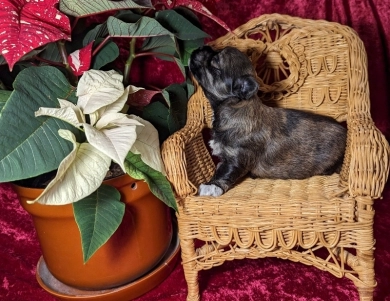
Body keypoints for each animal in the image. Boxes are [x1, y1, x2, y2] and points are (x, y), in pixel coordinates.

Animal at [189, 45, 348, 197]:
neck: (234, 108)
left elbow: (225, 173)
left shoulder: (236, 158)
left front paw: (211, 186)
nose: (199, 48)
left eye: (214, 64)